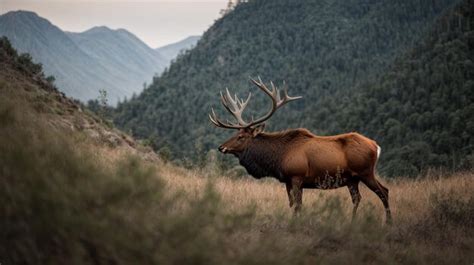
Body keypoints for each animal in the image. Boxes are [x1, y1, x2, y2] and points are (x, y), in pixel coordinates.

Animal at [210, 77, 392, 224]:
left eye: (241, 136)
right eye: (235, 133)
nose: (221, 147)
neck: (278, 158)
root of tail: (376, 146)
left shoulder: (297, 175)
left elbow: (298, 205)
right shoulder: (288, 180)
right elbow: (292, 204)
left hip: (365, 171)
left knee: (384, 191)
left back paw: (388, 222)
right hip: (352, 179)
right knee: (357, 198)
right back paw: (353, 222)